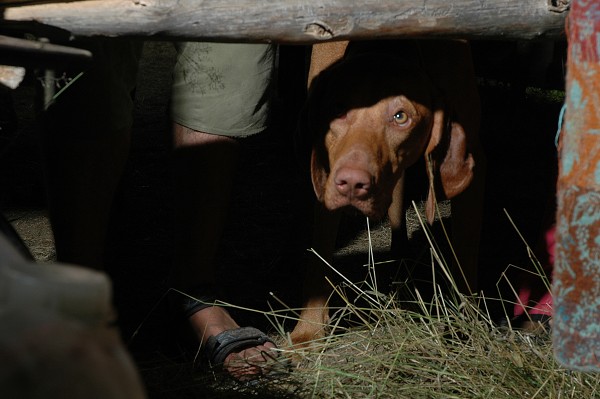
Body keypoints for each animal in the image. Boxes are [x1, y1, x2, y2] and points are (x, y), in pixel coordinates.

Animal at [290, 39, 482, 346]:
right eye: (338, 110)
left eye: (400, 116)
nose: (352, 183)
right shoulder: (327, 176)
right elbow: (318, 253)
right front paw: (308, 329)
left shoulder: (472, 178)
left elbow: (464, 259)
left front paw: (463, 332)